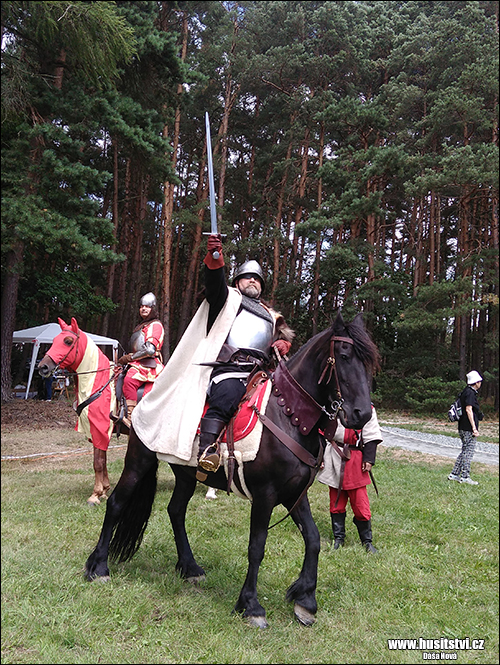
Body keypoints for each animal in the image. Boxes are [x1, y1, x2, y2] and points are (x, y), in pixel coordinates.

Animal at [84, 312, 378, 628]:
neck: (288, 416)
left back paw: (189, 567)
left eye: (369, 362)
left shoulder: (295, 494)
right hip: (140, 461)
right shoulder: (265, 496)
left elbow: (313, 540)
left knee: (176, 510)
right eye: (344, 356)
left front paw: (305, 601)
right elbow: (257, 547)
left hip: (185, 474)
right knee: (116, 503)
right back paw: (97, 566)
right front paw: (251, 605)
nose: (362, 414)